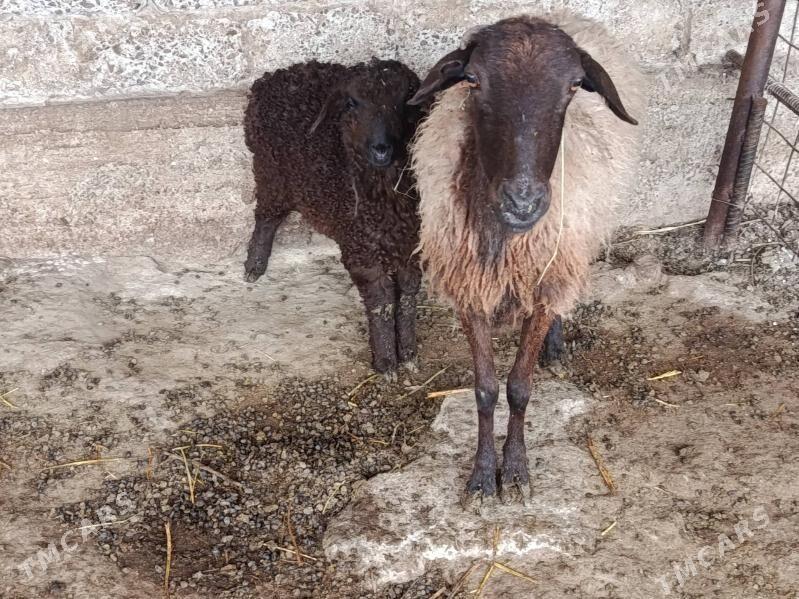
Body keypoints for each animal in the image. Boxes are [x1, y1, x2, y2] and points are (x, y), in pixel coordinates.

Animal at [243, 59, 422, 377]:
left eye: (405, 101)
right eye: (352, 103)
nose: (381, 149)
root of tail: (273, 77)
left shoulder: (411, 248)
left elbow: (407, 299)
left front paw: (409, 355)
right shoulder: (360, 251)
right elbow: (381, 302)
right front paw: (386, 363)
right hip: (270, 173)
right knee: (266, 217)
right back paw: (254, 265)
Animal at [408, 13, 645, 498]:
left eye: (575, 85)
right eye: (473, 80)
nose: (522, 203)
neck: (507, 238)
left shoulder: (546, 278)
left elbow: (519, 386)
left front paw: (515, 471)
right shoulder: (470, 289)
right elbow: (485, 389)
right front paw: (483, 477)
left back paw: (554, 344)